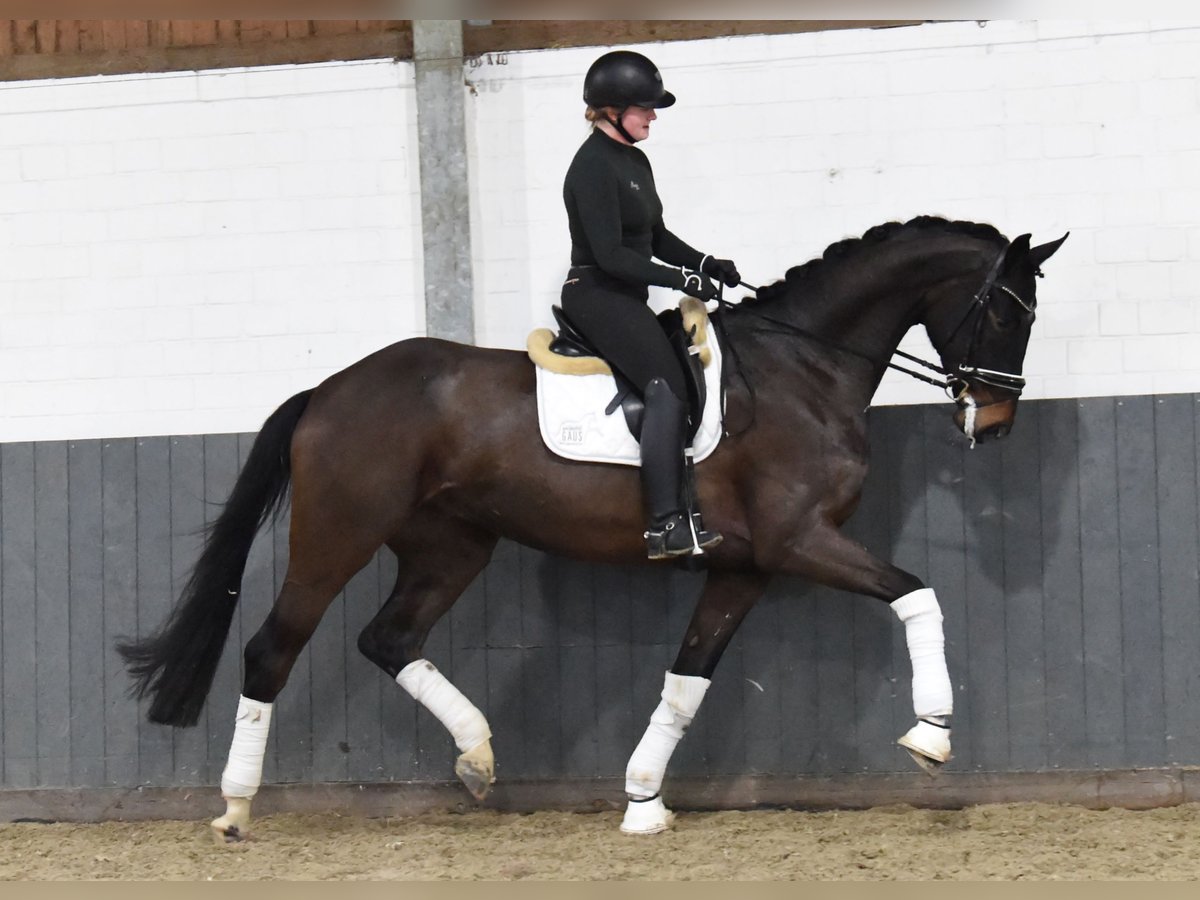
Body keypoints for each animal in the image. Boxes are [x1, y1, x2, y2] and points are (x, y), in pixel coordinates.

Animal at [117, 214, 1065, 844]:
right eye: (1004, 310)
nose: (996, 423)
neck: (803, 367)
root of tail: (329, 389)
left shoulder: (746, 568)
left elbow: (687, 682)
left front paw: (644, 801)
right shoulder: (800, 541)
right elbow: (918, 595)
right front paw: (932, 735)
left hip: (451, 546)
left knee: (388, 639)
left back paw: (477, 757)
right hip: (336, 536)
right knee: (272, 649)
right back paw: (236, 808)